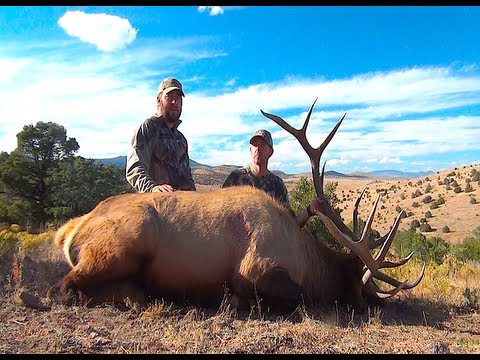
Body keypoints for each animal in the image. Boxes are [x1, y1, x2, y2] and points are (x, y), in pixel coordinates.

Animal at [52, 100, 426, 310]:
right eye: (362, 288)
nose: (376, 306)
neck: (305, 259)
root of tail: (72, 231)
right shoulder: (255, 268)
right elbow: (298, 297)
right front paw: (233, 301)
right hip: (123, 245)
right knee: (65, 286)